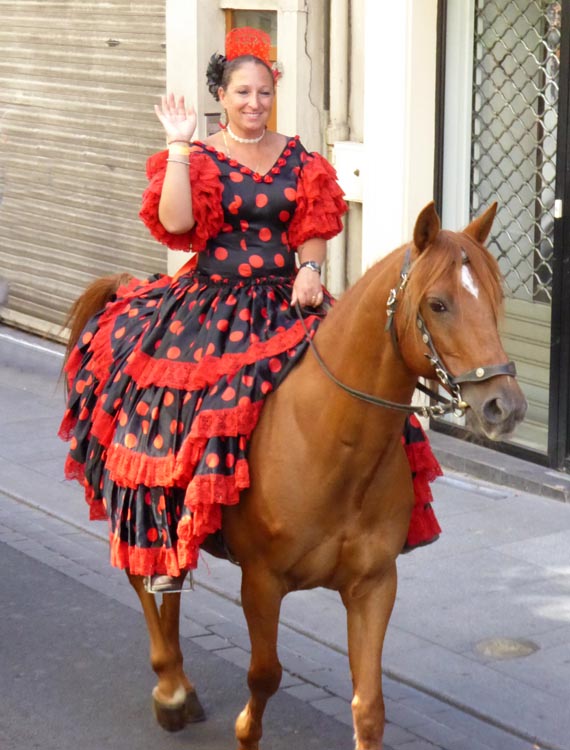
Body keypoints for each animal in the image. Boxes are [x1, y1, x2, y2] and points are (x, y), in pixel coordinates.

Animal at [65, 203, 524, 748]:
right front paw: (245, 730)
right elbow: (264, 676)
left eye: (495, 298)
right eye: (438, 304)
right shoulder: (262, 581)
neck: (334, 444)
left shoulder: (374, 584)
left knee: (171, 576)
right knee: (142, 574)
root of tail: (130, 288)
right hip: (137, 489)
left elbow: (369, 708)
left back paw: (180, 684)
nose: (505, 406)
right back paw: (170, 690)